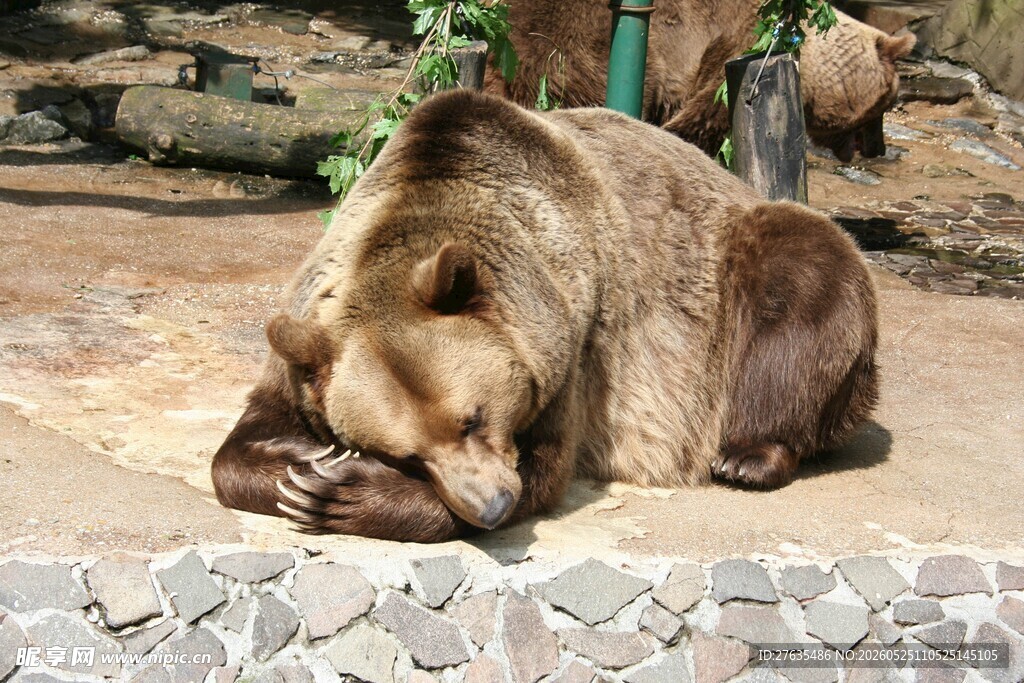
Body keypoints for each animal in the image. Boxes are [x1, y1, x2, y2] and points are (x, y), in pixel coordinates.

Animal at [211, 90, 879, 543]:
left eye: (472, 418)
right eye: (406, 454)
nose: (489, 506)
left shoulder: (573, 345)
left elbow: (544, 465)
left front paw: (338, 494)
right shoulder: (306, 338)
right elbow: (242, 444)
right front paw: (298, 470)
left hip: (733, 273)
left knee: (806, 275)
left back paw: (747, 455)